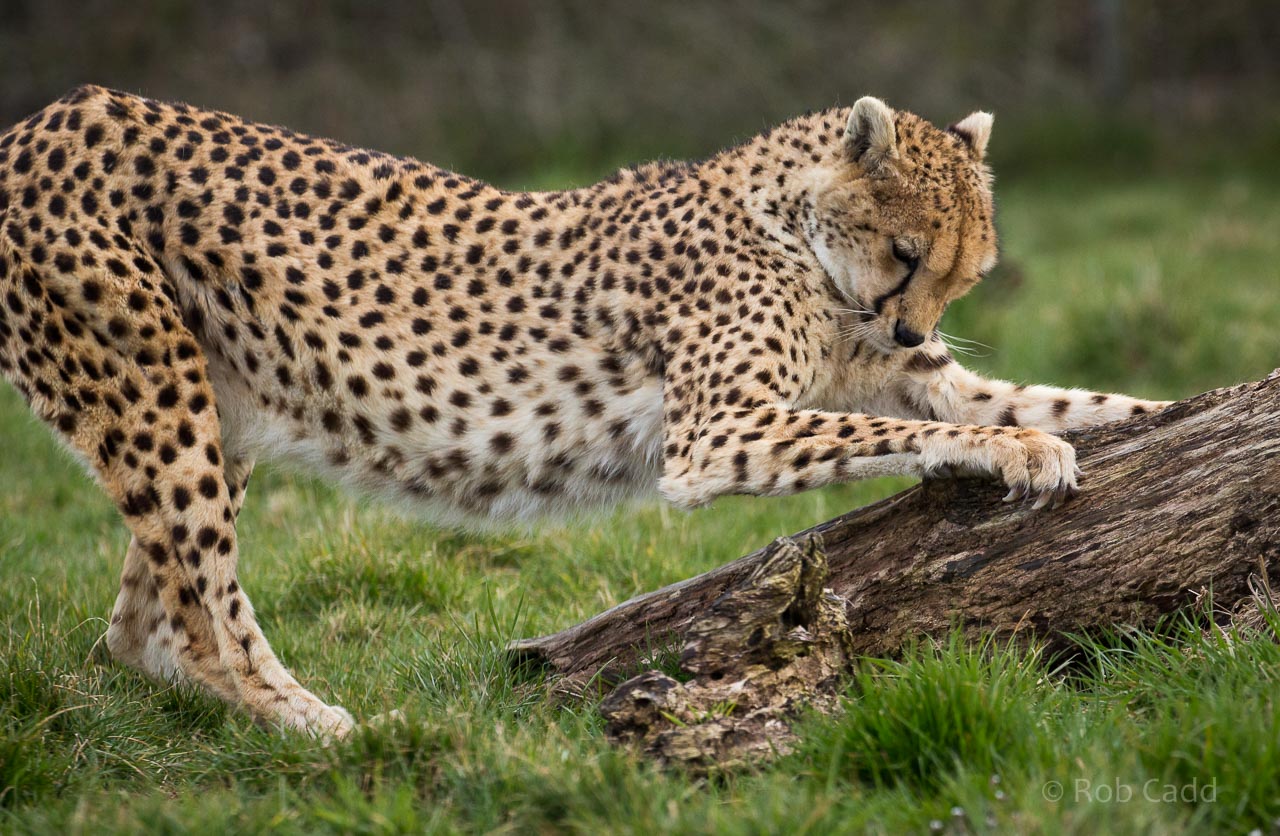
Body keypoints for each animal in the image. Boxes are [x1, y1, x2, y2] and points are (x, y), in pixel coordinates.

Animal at [0, 86, 1170, 737]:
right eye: (905, 251)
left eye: (966, 272)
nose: (912, 327)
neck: (792, 223)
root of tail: (44, 116)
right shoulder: (716, 434)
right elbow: (920, 427)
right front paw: (1013, 453)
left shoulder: (894, 370)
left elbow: (1052, 395)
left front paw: (1162, 411)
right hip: (156, 386)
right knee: (201, 614)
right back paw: (321, 727)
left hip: (212, 395)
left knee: (137, 627)